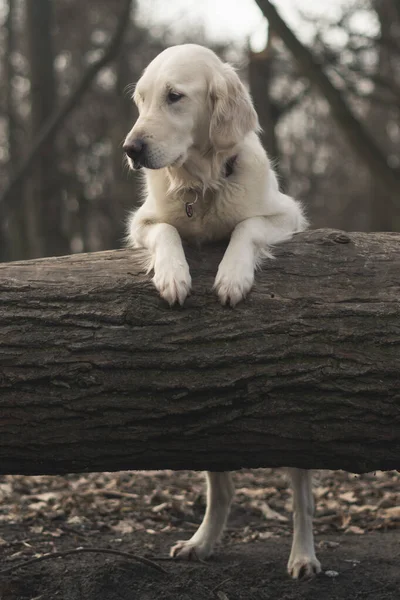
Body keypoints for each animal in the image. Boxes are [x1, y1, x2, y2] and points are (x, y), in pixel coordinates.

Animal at [123, 44, 320, 580]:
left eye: (175, 96)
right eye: (140, 99)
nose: (130, 149)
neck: (203, 184)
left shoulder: (286, 215)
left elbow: (246, 227)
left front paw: (232, 277)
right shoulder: (143, 221)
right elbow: (168, 231)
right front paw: (174, 277)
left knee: (302, 499)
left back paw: (303, 556)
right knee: (223, 489)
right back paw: (202, 542)